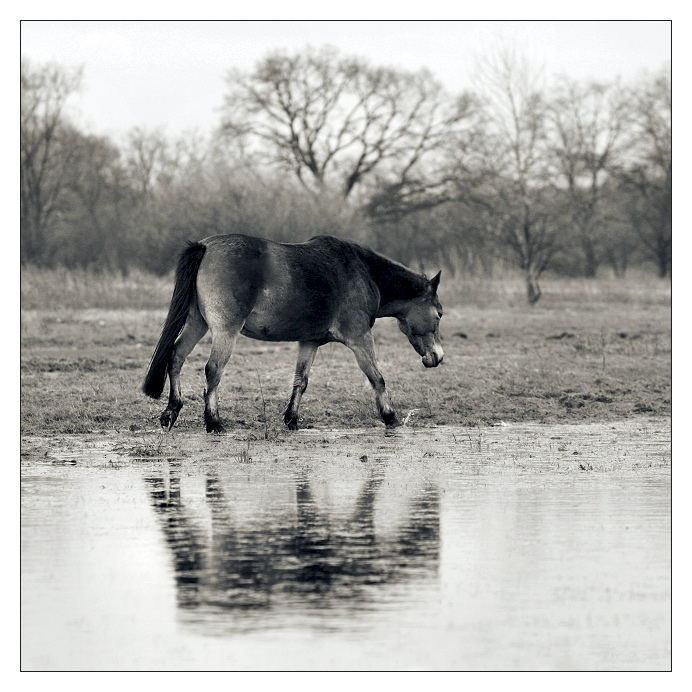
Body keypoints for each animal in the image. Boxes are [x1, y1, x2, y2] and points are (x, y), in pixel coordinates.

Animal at [143, 234, 444, 432]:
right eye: (439, 313)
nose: (437, 357)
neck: (362, 272)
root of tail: (206, 246)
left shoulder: (309, 342)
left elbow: (301, 381)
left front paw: (291, 419)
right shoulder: (360, 339)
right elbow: (377, 378)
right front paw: (390, 417)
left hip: (197, 323)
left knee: (176, 357)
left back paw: (171, 412)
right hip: (225, 332)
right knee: (213, 370)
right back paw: (213, 422)